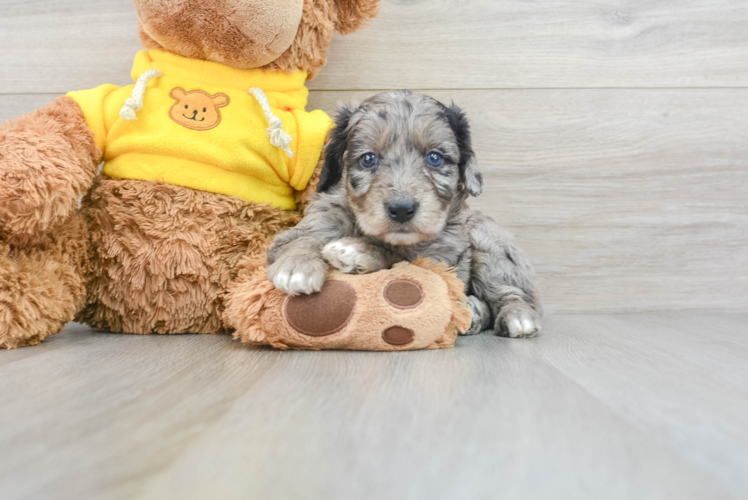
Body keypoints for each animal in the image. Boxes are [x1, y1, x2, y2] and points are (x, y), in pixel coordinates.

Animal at [266, 92, 540, 338]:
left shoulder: (440, 260)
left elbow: (403, 259)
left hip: (487, 239)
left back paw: (517, 317)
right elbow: (302, 239)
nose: (401, 209)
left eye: (434, 158)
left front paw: (357, 251)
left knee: (511, 293)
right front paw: (297, 267)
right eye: (368, 158)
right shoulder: (313, 222)